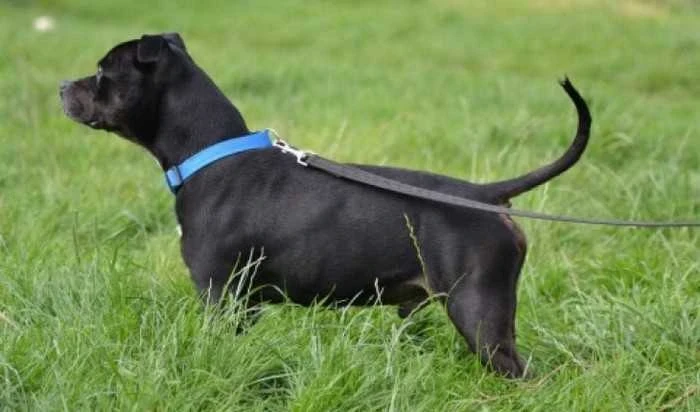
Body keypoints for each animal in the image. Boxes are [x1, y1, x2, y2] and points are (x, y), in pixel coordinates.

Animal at [60, 33, 591, 378]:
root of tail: (484, 195)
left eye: (103, 71)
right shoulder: (243, 303)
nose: (63, 86)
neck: (210, 152)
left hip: (479, 312)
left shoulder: (220, 295)